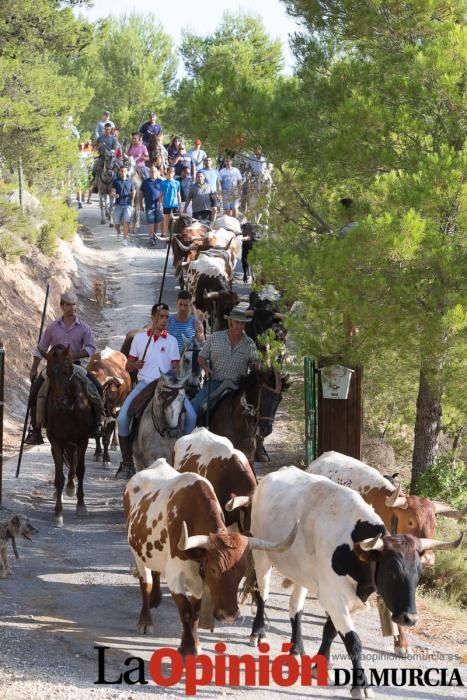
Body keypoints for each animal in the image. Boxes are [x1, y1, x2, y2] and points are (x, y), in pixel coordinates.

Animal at [41, 344, 93, 524]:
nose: (59, 403)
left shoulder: (83, 439)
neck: (70, 408)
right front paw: (58, 513)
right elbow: (59, 477)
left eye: (65, 372)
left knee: (74, 463)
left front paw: (82, 506)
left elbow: (81, 470)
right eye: (49, 373)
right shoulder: (56, 441)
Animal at [124, 460, 298, 656]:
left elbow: (195, 611)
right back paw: (145, 620)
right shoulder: (175, 575)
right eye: (214, 569)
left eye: (241, 572)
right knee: (145, 584)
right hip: (137, 554)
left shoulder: (200, 578)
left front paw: (195, 643)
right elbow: (185, 611)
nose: (230, 616)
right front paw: (188, 647)